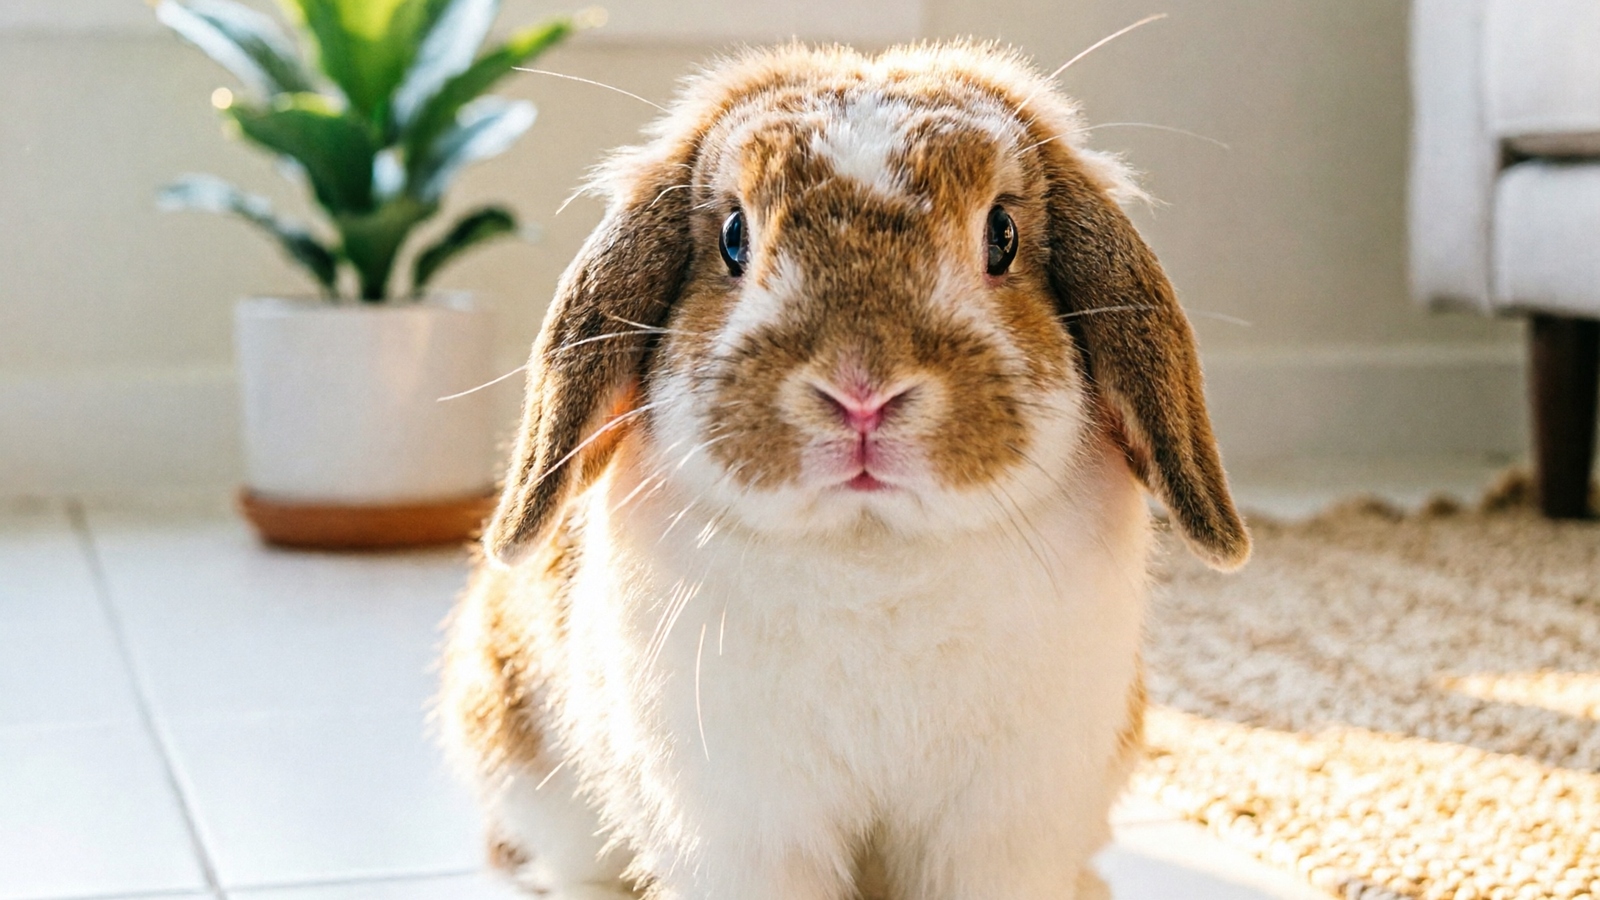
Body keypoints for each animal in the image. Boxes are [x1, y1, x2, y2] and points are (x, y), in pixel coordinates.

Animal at [438, 41, 1249, 900]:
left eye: (1002, 233)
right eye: (734, 237)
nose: (862, 391)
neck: (872, 551)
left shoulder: (1003, 827)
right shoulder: (746, 827)